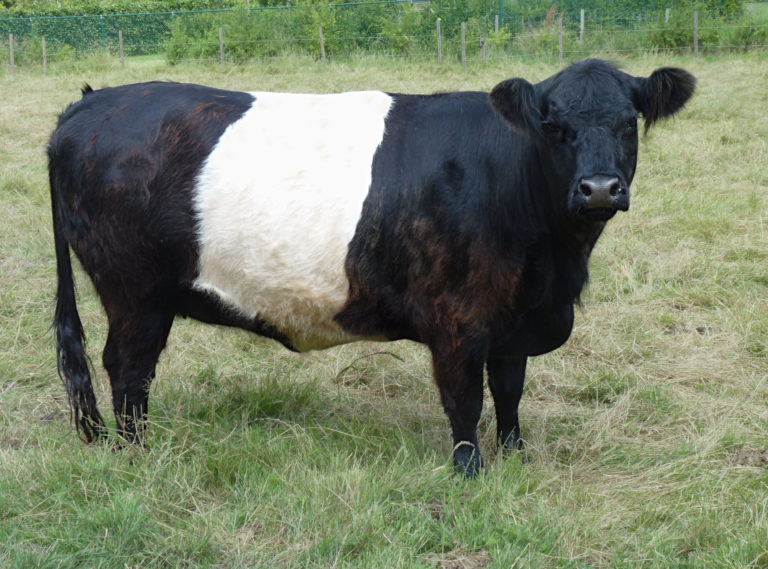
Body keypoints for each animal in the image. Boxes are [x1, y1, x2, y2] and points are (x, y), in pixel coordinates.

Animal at [49, 58, 696, 474]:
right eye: (554, 127)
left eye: (629, 123)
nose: (599, 189)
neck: (554, 265)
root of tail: (90, 101)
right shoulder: (458, 321)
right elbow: (465, 401)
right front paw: (471, 475)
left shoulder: (513, 321)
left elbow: (509, 393)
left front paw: (516, 459)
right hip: (135, 292)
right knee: (128, 370)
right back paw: (137, 453)